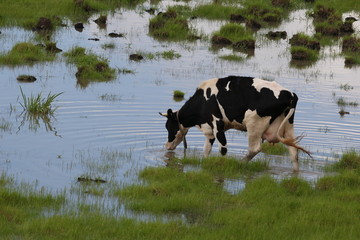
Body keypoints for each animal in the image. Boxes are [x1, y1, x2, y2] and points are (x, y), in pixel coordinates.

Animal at [159, 76, 310, 172]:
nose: (167, 146)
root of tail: (290, 94)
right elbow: (206, 150)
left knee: (255, 149)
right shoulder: (210, 130)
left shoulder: (217, 124)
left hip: (254, 124)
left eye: (168, 126)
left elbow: (223, 148)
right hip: (287, 127)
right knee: (293, 152)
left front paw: (221, 165)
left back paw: (240, 163)